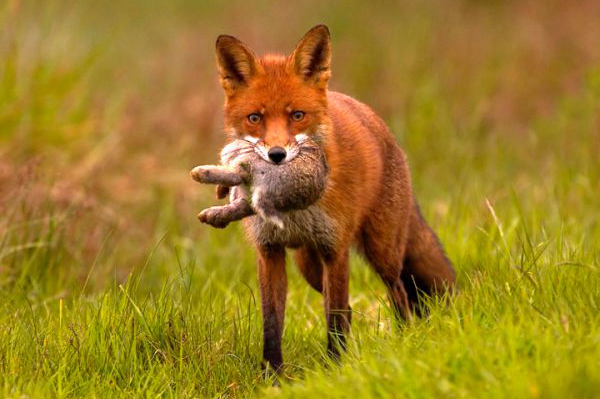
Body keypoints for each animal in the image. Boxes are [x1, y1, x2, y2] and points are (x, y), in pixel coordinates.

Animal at [211, 25, 454, 376]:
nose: (276, 155)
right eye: (254, 118)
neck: (292, 208)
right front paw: (272, 376)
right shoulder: (269, 251)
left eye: (297, 115)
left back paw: (404, 341)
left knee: (398, 293)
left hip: (382, 251)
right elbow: (272, 321)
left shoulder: (335, 249)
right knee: (352, 306)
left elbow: (335, 317)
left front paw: (336, 370)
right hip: (308, 265)